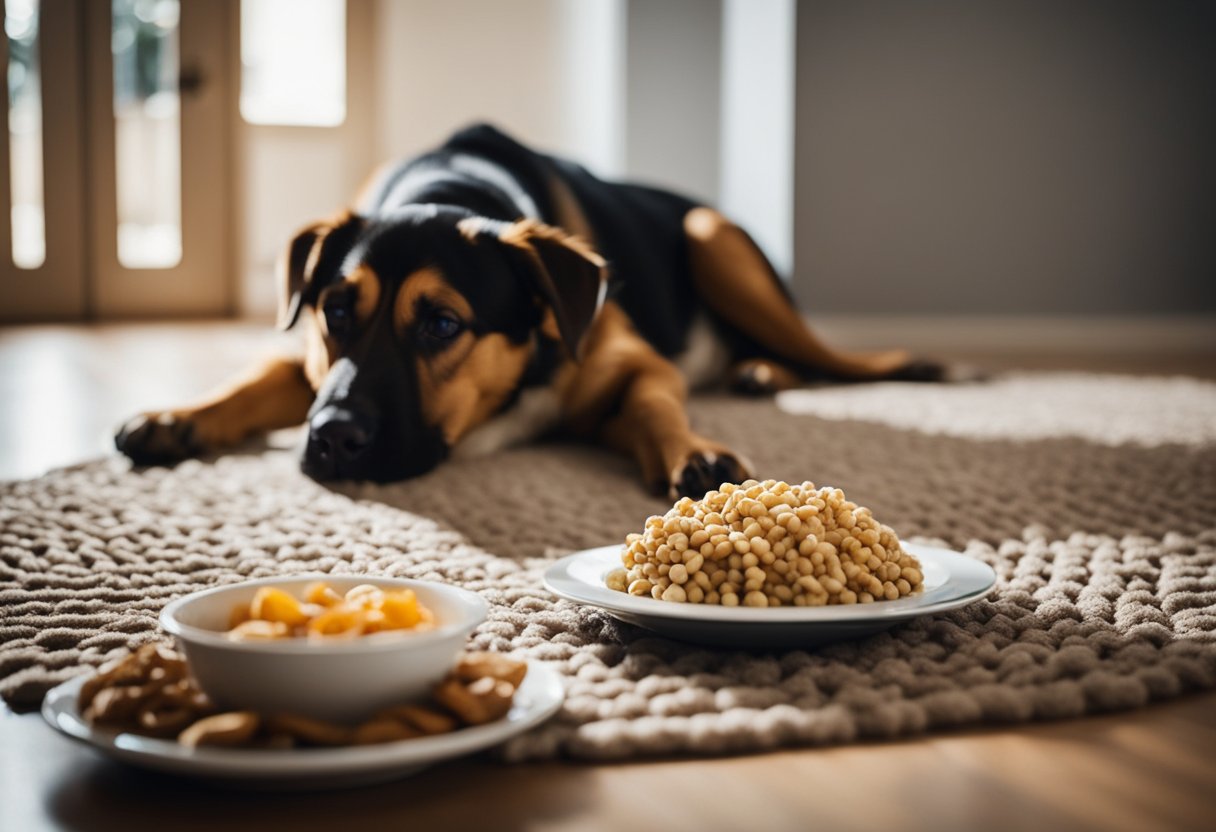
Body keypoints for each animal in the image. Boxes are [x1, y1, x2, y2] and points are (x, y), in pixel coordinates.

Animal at [114, 121, 933, 496]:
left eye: (443, 324)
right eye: (335, 313)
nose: (335, 437)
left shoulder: (636, 366)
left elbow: (655, 404)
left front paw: (693, 451)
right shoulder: (311, 359)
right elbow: (255, 379)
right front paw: (177, 418)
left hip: (713, 239)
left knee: (826, 359)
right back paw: (757, 373)